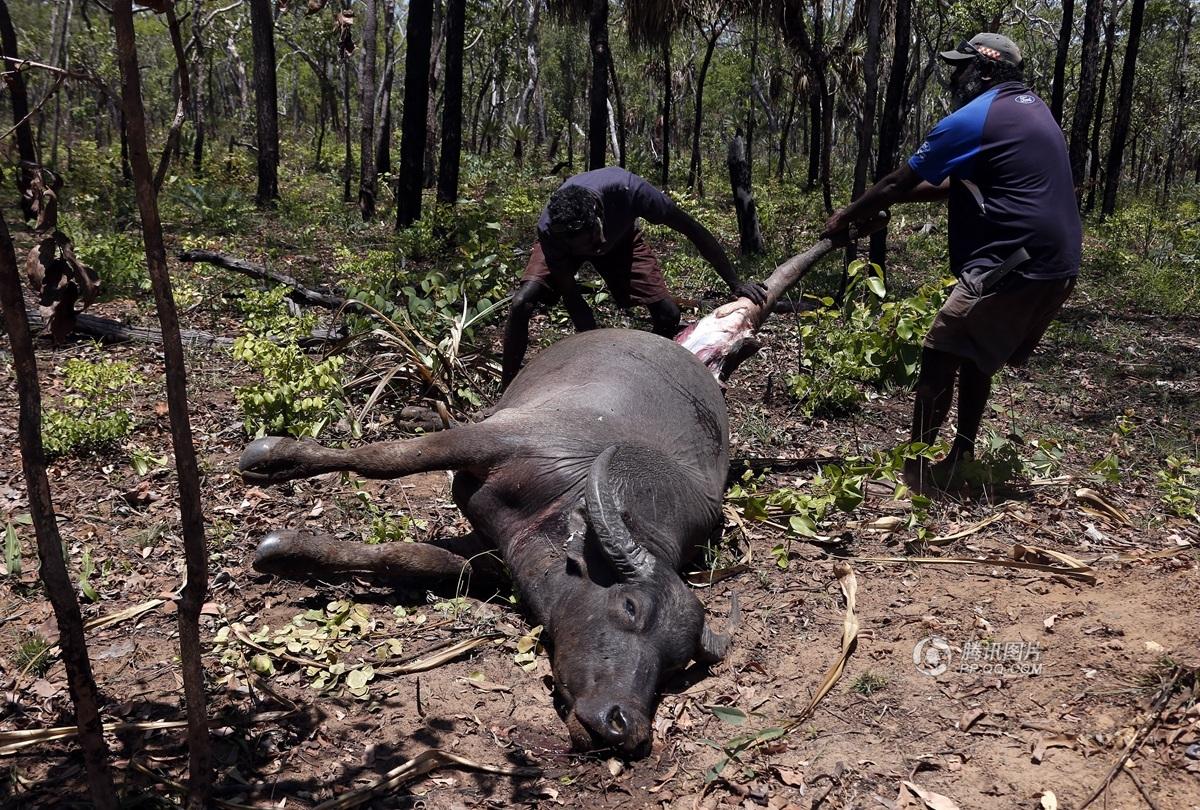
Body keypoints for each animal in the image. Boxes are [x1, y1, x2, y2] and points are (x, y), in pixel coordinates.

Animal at [238, 326, 734, 758]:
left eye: (673, 664)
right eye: (630, 606)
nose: (624, 725)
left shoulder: (502, 553)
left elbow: (416, 558)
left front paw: (292, 554)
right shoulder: (490, 439)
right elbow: (384, 458)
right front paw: (277, 458)